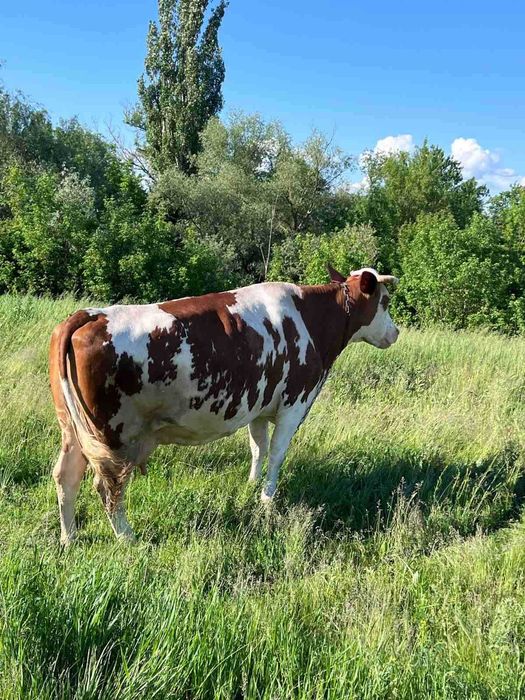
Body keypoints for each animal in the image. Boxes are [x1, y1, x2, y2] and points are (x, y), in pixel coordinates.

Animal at [49, 266, 399, 545]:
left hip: (73, 429)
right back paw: (126, 537)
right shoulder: (294, 404)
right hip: (114, 435)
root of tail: (89, 315)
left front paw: (251, 486)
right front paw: (267, 501)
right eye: (384, 302)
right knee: (108, 485)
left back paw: (70, 538)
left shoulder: (259, 407)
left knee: (66, 475)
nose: (395, 332)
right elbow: (276, 454)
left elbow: (258, 448)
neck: (310, 319)